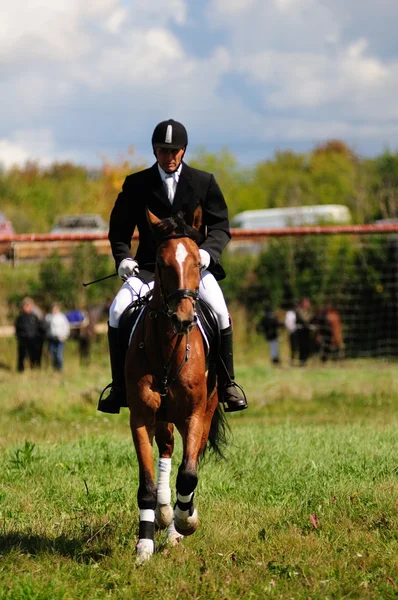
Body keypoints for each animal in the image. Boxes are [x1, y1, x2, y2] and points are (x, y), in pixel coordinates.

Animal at [126, 206, 229, 564]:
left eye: (198, 263)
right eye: (161, 263)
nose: (183, 318)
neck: (169, 349)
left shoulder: (195, 415)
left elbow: (189, 473)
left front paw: (188, 521)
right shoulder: (142, 418)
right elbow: (147, 484)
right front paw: (144, 545)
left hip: (203, 412)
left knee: (188, 461)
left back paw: (177, 523)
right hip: (163, 418)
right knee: (168, 452)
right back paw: (165, 517)